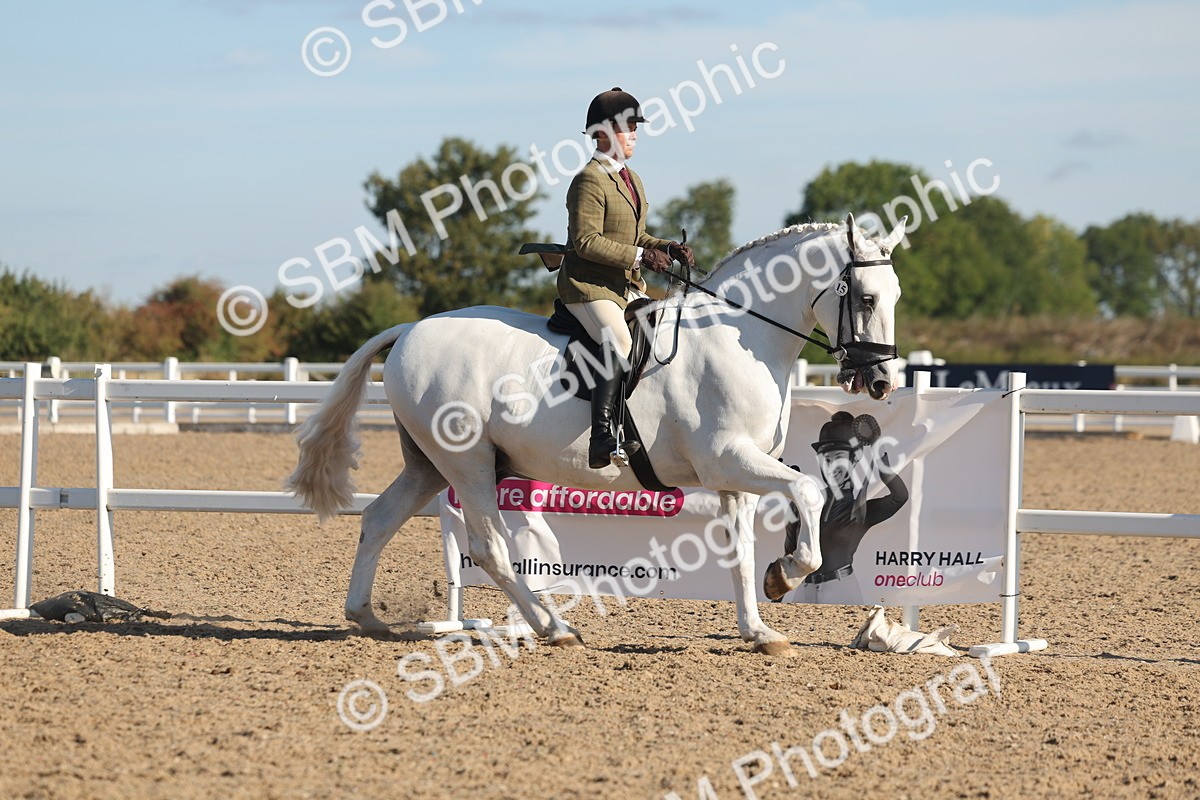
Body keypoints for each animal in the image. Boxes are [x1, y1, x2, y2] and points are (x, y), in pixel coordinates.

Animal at [287, 213, 905, 656]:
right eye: (866, 298)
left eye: (895, 297)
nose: (879, 381)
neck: (737, 335)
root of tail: (411, 328)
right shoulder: (729, 459)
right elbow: (811, 491)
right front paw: (787, 576)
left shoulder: (737, 477)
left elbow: (742, 551)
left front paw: (760, 629)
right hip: (467, 463)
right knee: (490, 547)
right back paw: (553, 627)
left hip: (428, 465)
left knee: (378, 519)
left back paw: (368, 619)